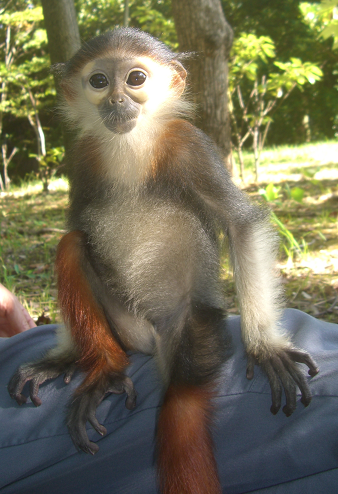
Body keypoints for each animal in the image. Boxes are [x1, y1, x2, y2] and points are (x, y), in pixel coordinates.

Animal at [7, 28, 320, 494]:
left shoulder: (190, 144)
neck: (129, 146)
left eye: (136, 78)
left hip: (192, 329)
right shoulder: (82, 156)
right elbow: (76, 226)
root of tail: (150, 339)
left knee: (181, 410)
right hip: (124, 324)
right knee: (73, 244)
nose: (118, 100)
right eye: (99, 81)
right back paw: (104, 369)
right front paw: (64, 355)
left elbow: (241, 224)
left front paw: (266, 347)